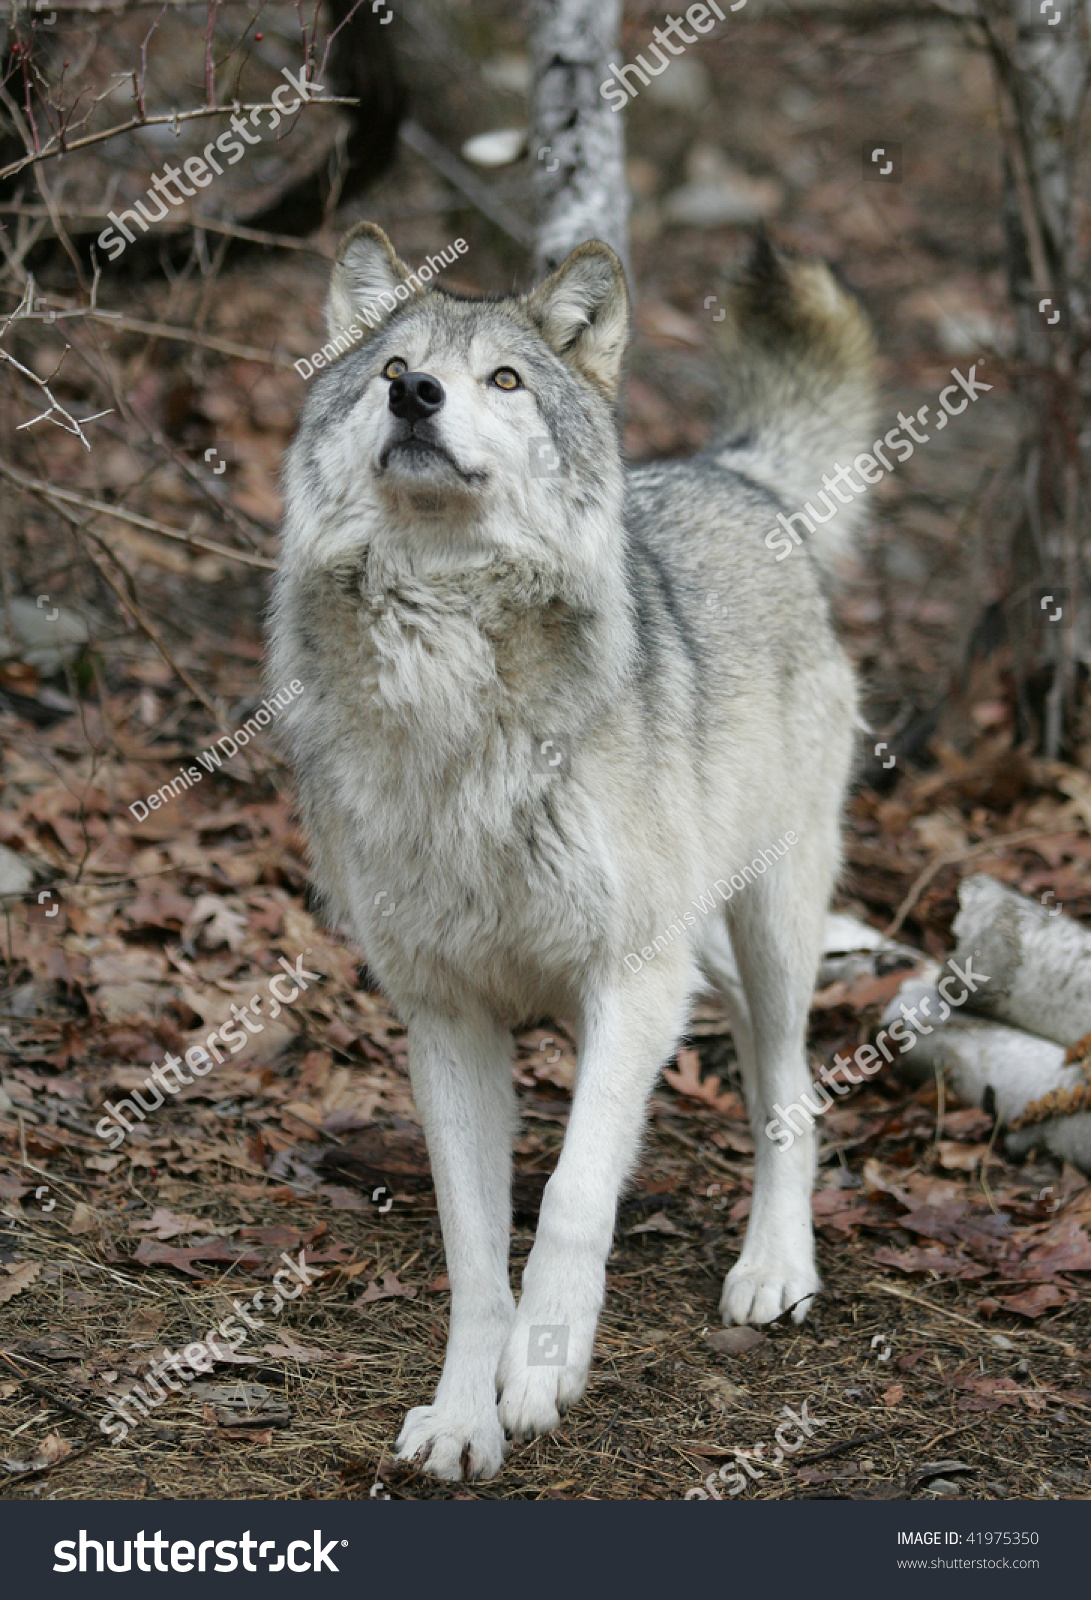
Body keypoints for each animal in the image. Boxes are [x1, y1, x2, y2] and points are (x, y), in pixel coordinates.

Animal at [270, 222, 876, 1472]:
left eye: (503, 379)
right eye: (394, 363)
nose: (414, 395)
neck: (447, 658)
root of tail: (733, 475)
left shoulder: (628, 980)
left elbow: (568, 1197)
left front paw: (544, 1363)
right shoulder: (444, 1015)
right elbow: (471, 1247)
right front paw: (463, 1414)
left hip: (769, 926)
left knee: (789, 1084)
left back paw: (773, 1266)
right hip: (704, 946)